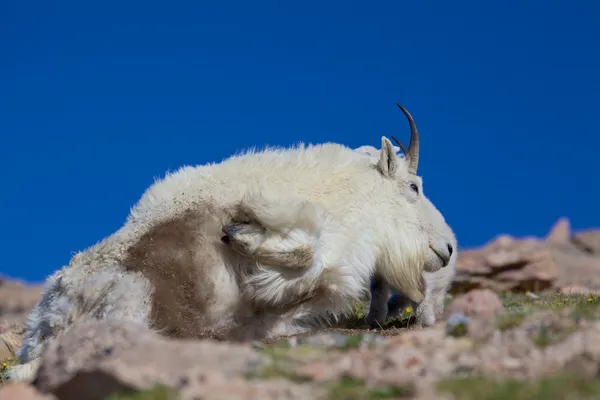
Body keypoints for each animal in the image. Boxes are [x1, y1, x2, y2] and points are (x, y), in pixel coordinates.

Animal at [9, 104, 452, 382]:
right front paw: (242, 235)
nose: (447, 249)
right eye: (414, 187)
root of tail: (37, 332)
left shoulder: (327, 276)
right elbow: (295, 245)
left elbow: (298, 279)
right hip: (129, 290)